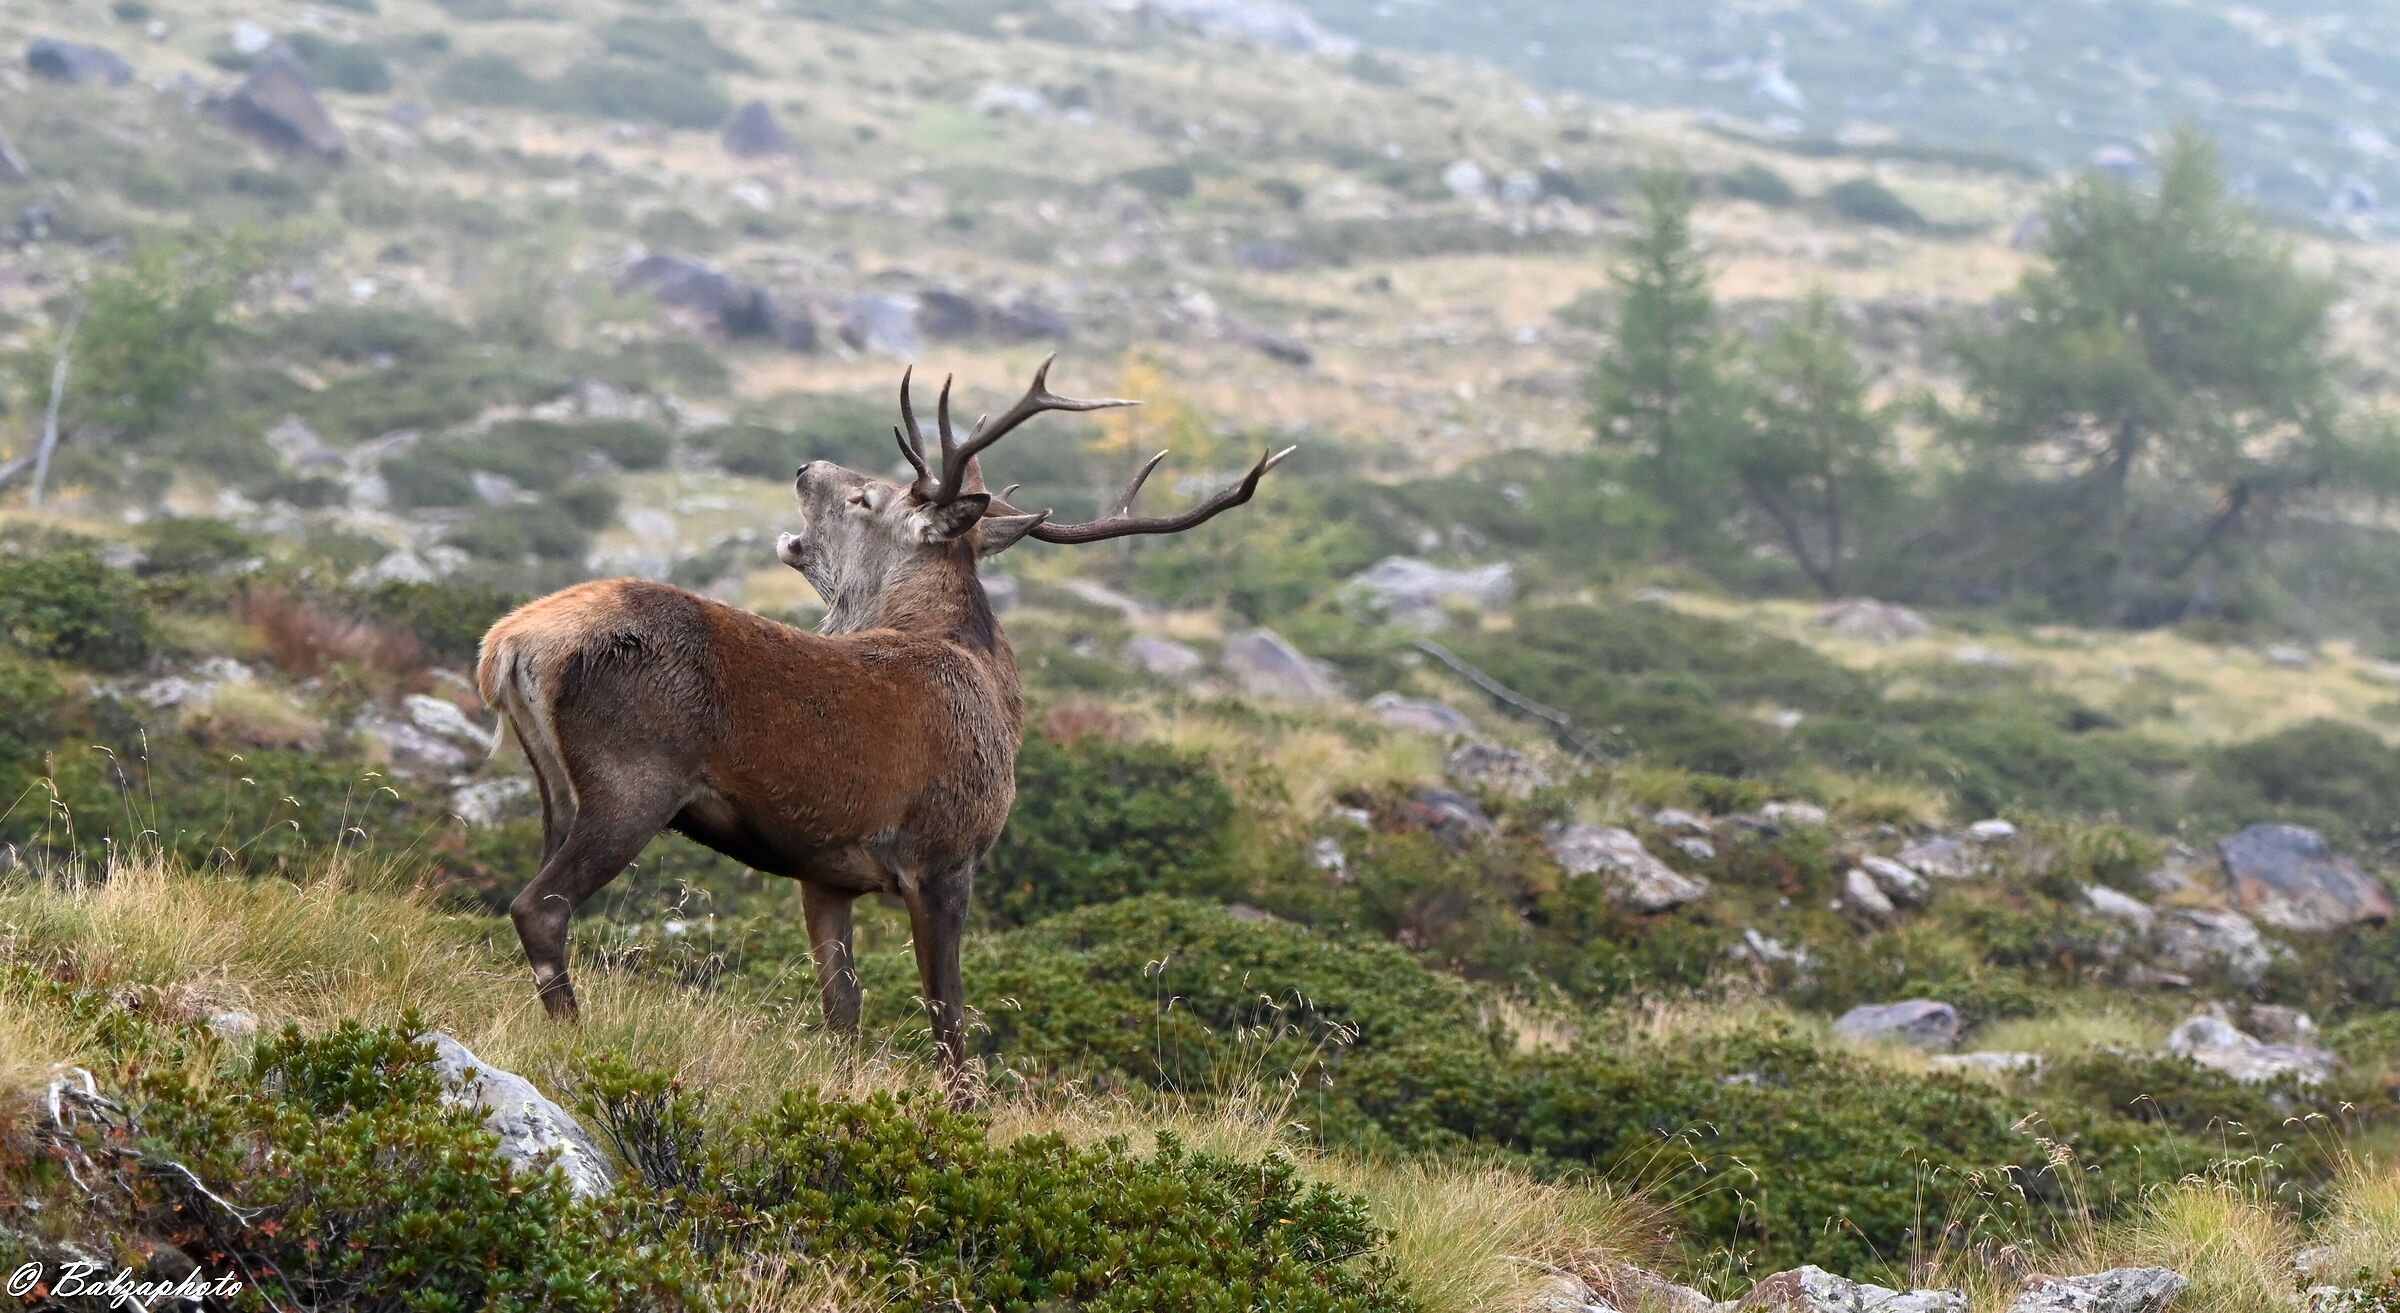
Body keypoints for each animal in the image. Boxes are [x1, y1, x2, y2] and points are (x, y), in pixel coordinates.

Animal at [475, 357, 1291, 1106]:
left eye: (864, 497)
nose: (806, 465)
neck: (992, 692)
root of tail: (509, 644)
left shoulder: (824, 868)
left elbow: (844, 1006)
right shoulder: (946, 854)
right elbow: (948, 1017)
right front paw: (962, 1112)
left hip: (556, 789)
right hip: (633, 778)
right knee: (540, 906)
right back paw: (582, 1042)